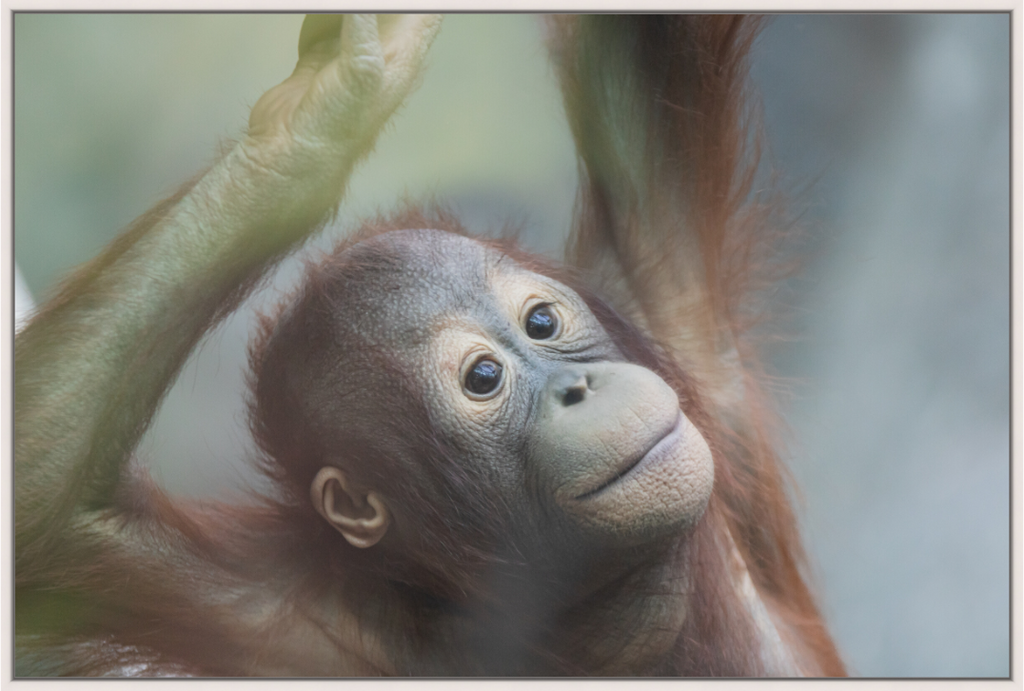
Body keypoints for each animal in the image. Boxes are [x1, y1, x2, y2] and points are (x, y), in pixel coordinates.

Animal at [14, 14, 844, 676]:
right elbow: (54, 526)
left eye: (543, 324)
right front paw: (313, 127)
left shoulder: (651, 292)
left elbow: (643, 54)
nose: (578, 387)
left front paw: (328, 101)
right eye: (482, 377)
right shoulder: (284, 614)